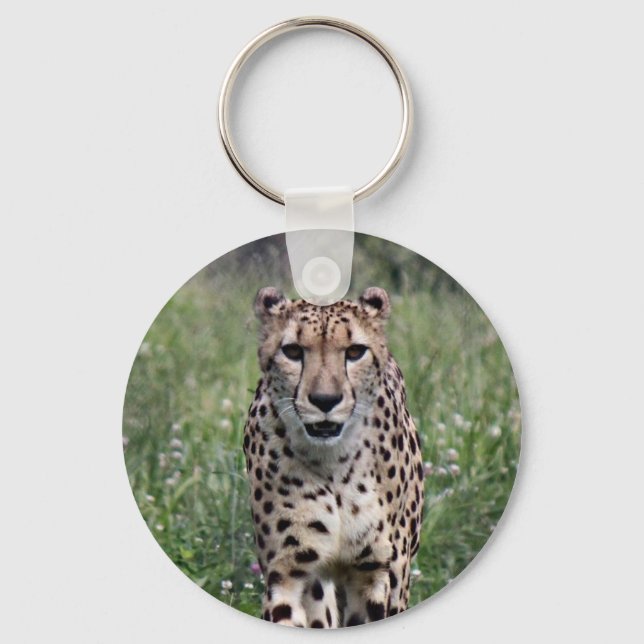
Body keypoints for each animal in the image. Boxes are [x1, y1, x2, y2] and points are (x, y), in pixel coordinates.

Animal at [242, 285, 424, 628]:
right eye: (293, 351)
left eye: (354, 352)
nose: (325, 400)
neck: (334, 465)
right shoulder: (289, 572)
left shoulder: (373, 574)